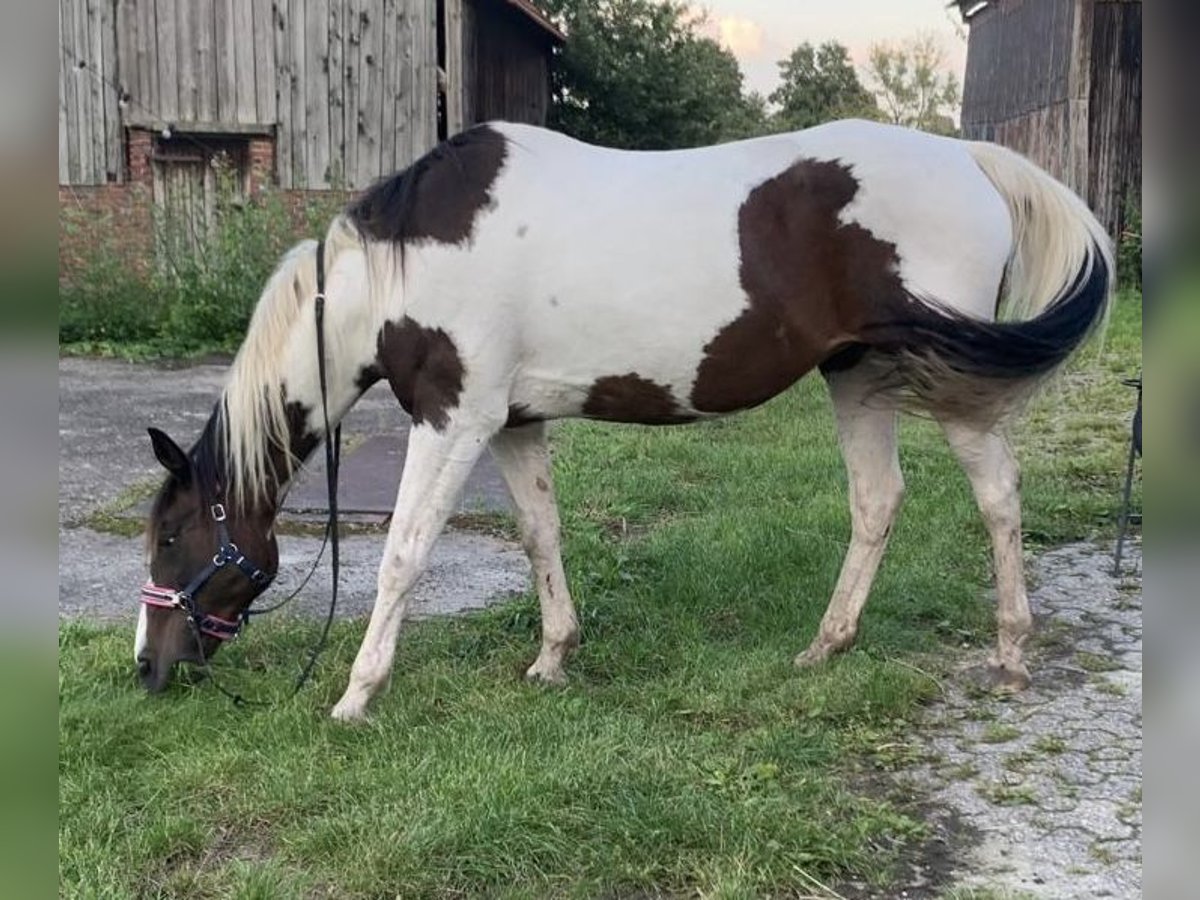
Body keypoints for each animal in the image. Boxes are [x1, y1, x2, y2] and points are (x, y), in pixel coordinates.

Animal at [138, 121, 1113, 724]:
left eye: (170, 539)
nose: (148, 668)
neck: (398, 269)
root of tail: (969, 158)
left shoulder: (453, 418)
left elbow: (404, 554)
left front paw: (355, 696)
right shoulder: (511, 422)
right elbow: (539, 532)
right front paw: (552, 658)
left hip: (954, 388)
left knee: (998, 498)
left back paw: (1011, 654)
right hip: (860, 377)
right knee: (878, 500)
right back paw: (824, 647)